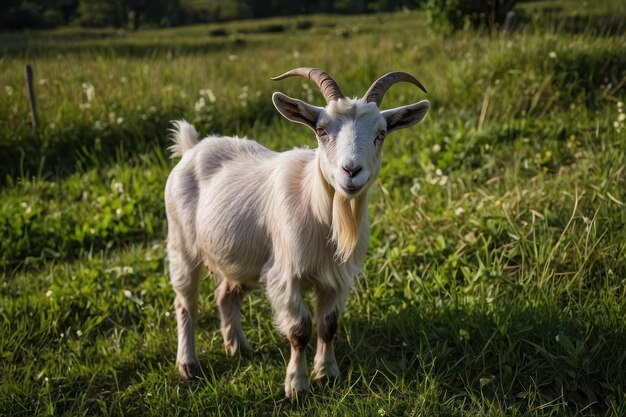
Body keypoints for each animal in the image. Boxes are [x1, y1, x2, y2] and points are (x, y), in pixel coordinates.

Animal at [163, 67, 426, 396]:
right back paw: (187, 364)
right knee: (185, 304)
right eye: (321, 130)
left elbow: (329, 325)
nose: (351, 171)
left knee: (226, 295)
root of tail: (192, 147)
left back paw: (238, 348)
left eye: (381, 133)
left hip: (243, 258)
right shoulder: (285, 276)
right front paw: (297, 386)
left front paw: (327, 374)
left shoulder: (337, 278)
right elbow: (299, 330)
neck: (320, 211)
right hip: (182, 246)